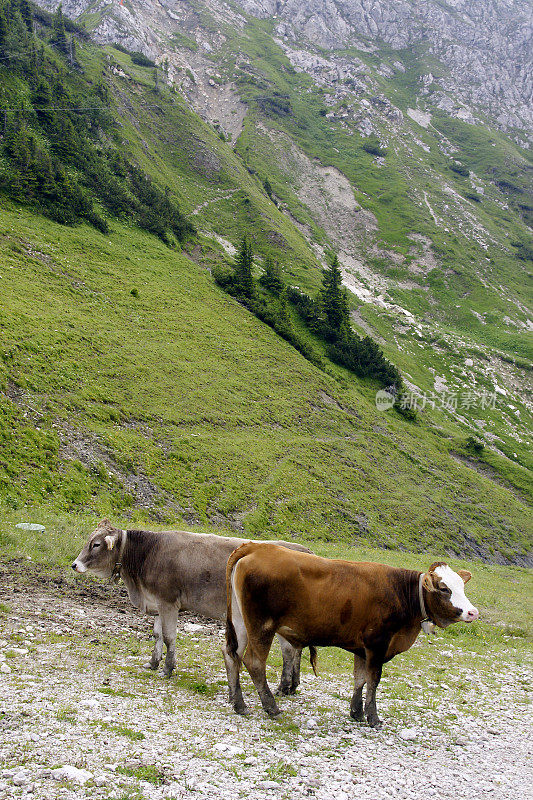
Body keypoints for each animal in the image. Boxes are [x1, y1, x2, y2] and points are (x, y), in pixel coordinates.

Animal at [72, 520, 310, 692]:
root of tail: (303, 550)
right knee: (294, 649)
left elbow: (169, 637)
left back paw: (283, 687)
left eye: (96, 544)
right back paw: (292, 686)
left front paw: (167, 669)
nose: (74, 564)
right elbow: (157, 635)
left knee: (288, 650)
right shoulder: (157, 603)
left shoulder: (168, 602)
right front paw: (153, 662)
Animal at [222, 544, 480, 724]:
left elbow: (360, 678)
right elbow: (373, 680)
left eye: (462, 586)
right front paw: (373, 717)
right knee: (254, 662)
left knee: (231, 654)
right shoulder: (378, 643)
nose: (472, 612)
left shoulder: (362, 647)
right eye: (444, 589)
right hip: (261, 626)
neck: (399, 592)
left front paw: (356, 712)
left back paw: (238, 703)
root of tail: (257, 547)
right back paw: (271, 706)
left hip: (240, 623)